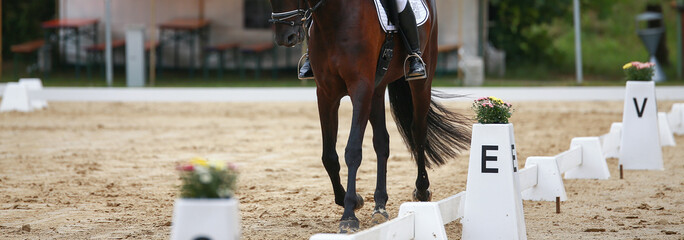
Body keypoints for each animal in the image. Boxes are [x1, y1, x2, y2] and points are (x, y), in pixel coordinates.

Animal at [268, 0, 470, 232]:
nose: (286, 38)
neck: (334, 20)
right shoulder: (326, 94)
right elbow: (329, 156)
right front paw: (351, 200)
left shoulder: (361, 90)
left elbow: (353, 151)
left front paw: (348, 215)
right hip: (377, 89)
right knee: (382, 142)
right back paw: (380, 206)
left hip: (421, 82)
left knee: (418, 132)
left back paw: (421, 190)